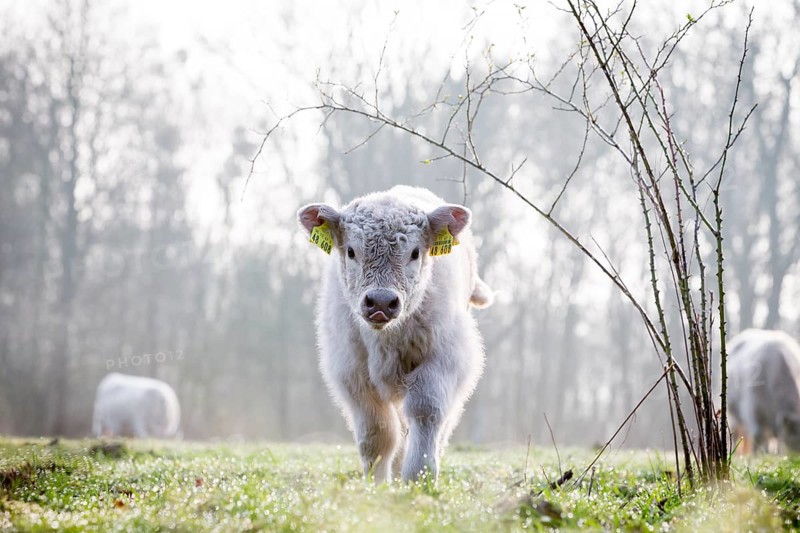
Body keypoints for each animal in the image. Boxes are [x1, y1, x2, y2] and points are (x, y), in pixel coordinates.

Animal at [297, 186, 493, 483]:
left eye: (414, 252)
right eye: (351, 251)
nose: (380, 302)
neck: (384, 340)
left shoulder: (444, 360)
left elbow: (426, 412)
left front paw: (418, 479)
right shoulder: (352, 373)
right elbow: (377, 433)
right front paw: (376, 485)